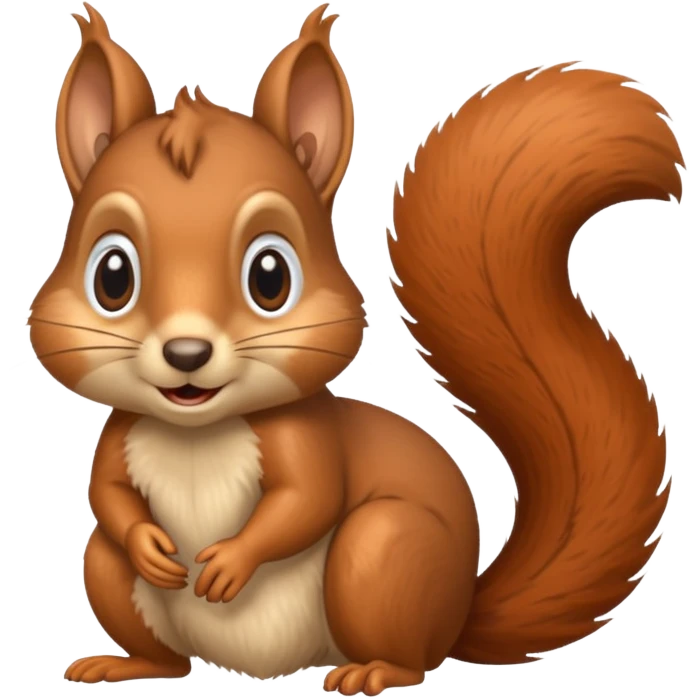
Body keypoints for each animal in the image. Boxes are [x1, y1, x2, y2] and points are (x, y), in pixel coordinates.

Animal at [32, 1, 681, 693]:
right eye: (111, 277)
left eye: (270, 277)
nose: (186, 354)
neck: (197, 432)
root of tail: (459, 616)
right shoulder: (121, 436)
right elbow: (107, 496)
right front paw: (149, 546)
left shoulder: (306, 437)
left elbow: (307, 501)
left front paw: (232, 560)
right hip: (107, 572)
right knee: (154, 633)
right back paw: (126, 662)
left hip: (381, 553)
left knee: (408, 649)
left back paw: (373, 671)